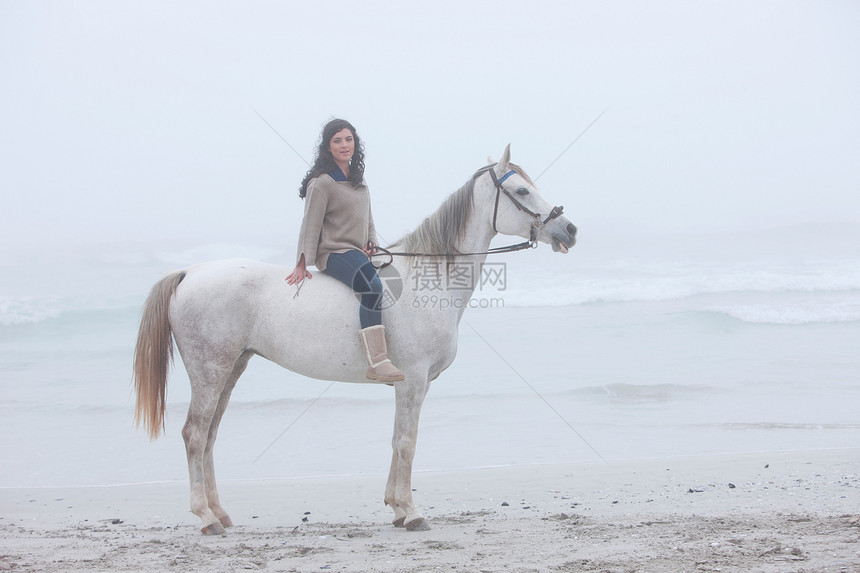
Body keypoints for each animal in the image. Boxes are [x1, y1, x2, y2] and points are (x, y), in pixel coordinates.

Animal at [134, 145, 576, 536]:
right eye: (521, 191)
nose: (568, 228)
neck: (428, 277)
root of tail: (189, 273)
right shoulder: (414, 380)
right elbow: (407, 442)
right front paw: (412, 512)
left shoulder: (409, 384)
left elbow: (396, 440)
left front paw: (396, 509)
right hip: (211, 372)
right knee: (195, 435)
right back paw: (206, 518)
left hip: (230, 369)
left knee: (209, 436)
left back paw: (221, 514)